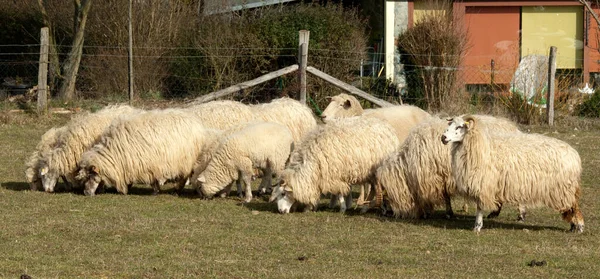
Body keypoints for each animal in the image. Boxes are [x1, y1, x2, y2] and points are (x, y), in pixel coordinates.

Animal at [76, 109, 219, 197]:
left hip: (185, 160)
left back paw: (176, 190)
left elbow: (152, 180)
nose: (86, 193)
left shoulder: (146, 165)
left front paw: (154, 191)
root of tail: (198, 125)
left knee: (183, 177)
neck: (114, 153)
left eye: (90, 176)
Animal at [270, 117, 400, 215]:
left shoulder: (335, 174)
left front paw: (342, 208)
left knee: (374, 190)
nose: (281, 211)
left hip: (374, 172)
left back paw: (366, 208)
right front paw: (310, 207)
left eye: (283, 193)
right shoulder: (323, 175)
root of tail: (388, 128)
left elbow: (339, 193)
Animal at [376, 115, 520, 220]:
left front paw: (439, 213)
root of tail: (513, 128)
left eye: (385, 193)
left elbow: (443, 196)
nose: (383, 212)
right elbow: (445, 196)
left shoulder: (437, 177)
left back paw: (517, 214)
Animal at [438, 115, 584, 233]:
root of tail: (574, 154)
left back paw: (579, 226)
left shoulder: (483, 185)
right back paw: (573, 226)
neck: (480, 147)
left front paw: (477, 226)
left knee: (574, 206)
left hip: (565, 189)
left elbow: (480, 207)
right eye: (449, 124)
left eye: (459, 126)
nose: (443, 138)